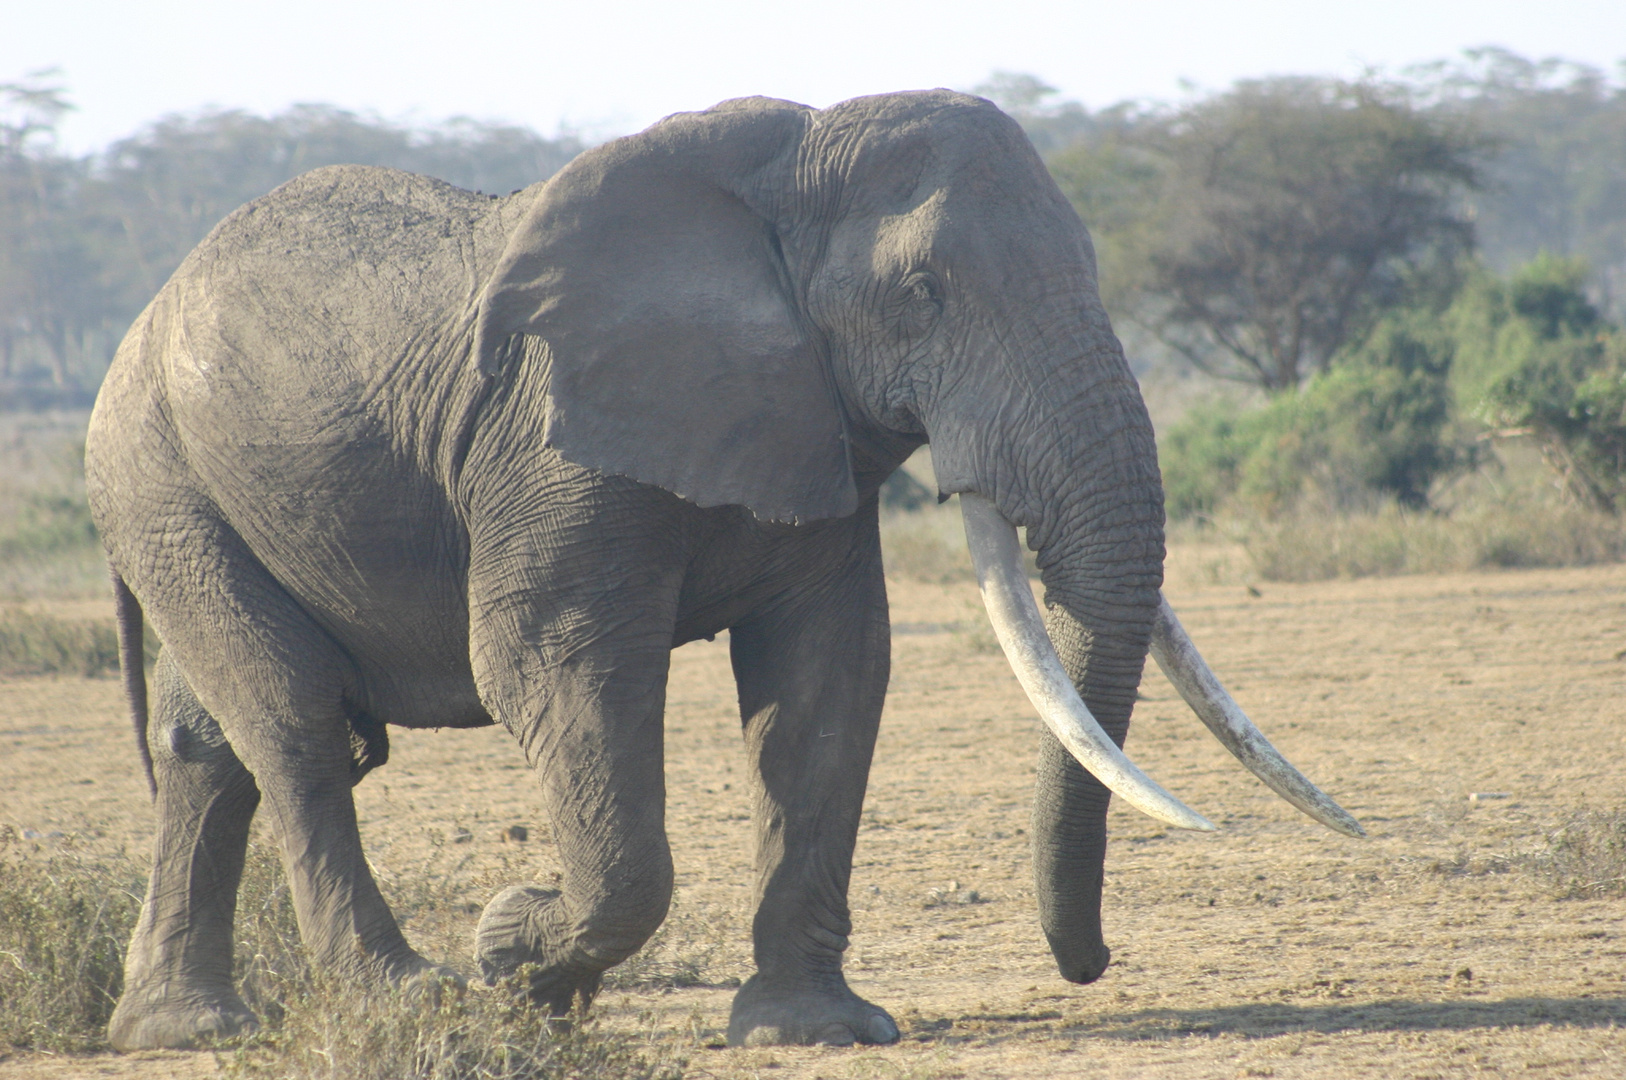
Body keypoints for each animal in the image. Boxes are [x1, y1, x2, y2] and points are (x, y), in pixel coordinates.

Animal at [85, 92, 1359, 1053]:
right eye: (923, 296)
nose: (1089, 965)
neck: (785, 167)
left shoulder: (811, 418)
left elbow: (828, 677)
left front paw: (815, 1032)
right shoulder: (550, 451)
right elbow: (550, 667)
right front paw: (515, 954)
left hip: (189, 492)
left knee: (211, 746)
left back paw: (186, 1033)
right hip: (161, 482)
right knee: (296, 729)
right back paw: (409, 1000)